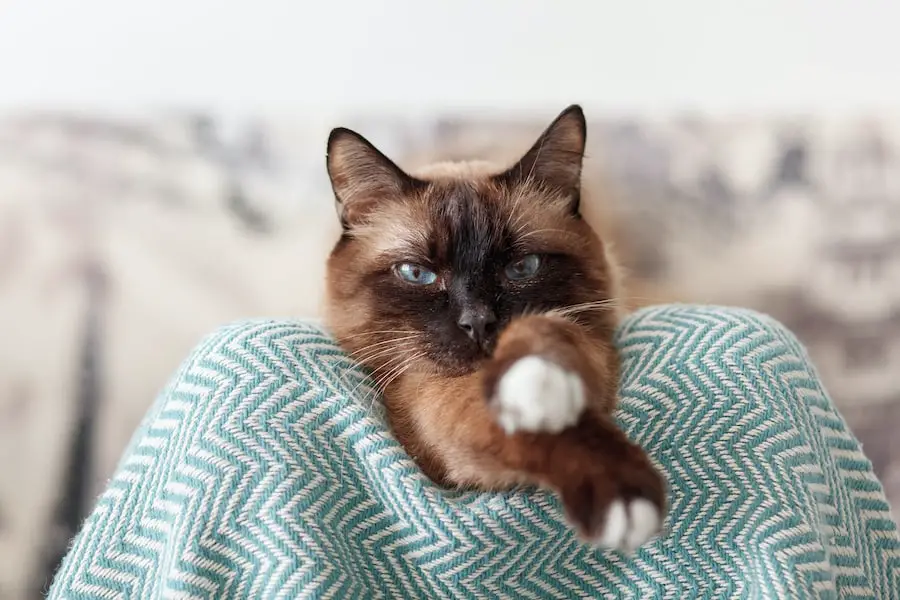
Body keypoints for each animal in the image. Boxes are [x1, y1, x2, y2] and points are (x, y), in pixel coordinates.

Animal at [320, 105, 664, 552]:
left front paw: (538, 379)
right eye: (417, 274)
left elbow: (550, 333)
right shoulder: (429, 403)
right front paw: (618, 495)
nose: (478, 322)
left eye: (522, 268)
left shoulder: (591, 339)